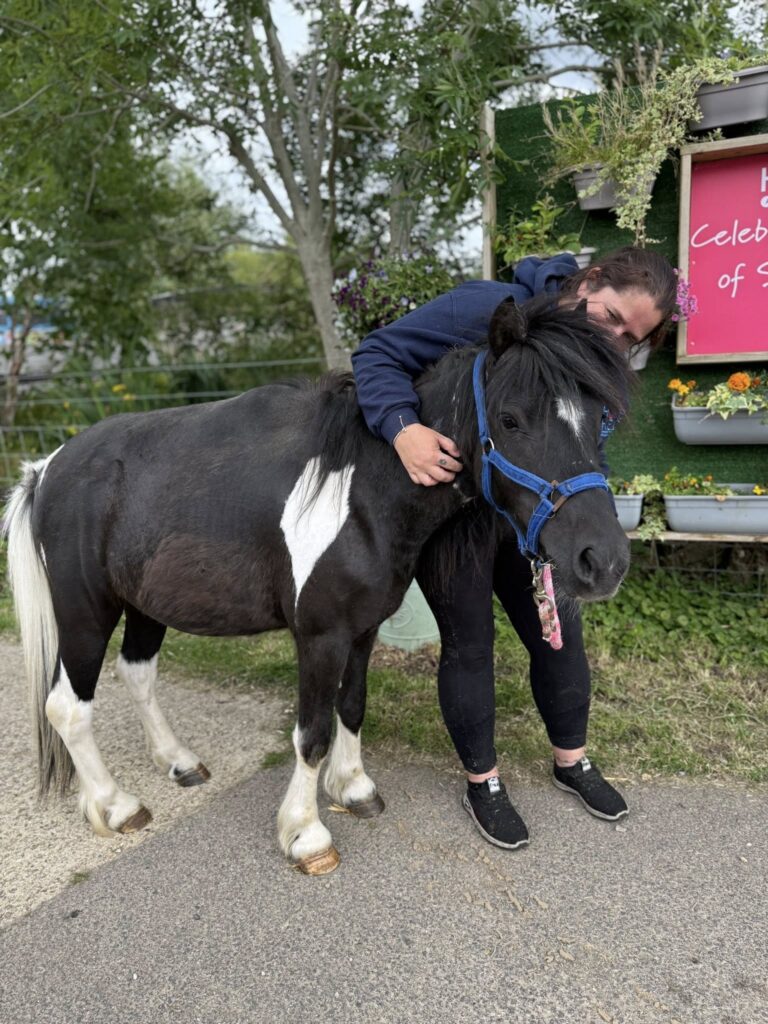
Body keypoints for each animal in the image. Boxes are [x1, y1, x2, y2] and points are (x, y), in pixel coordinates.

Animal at [4, 296, 633, 875]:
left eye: (598, 416)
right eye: (510, 419)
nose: (602, 560)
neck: (367, 487)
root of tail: (46, 469)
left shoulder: (362, 629)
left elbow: (351, 707)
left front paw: (353, 788)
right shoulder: (320, 636)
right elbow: (312, 732)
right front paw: (306, 834)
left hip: (143, 605)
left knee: (136, 673)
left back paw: (178, 761)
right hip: (85, 611)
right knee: (68, 707)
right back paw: (116, 805)